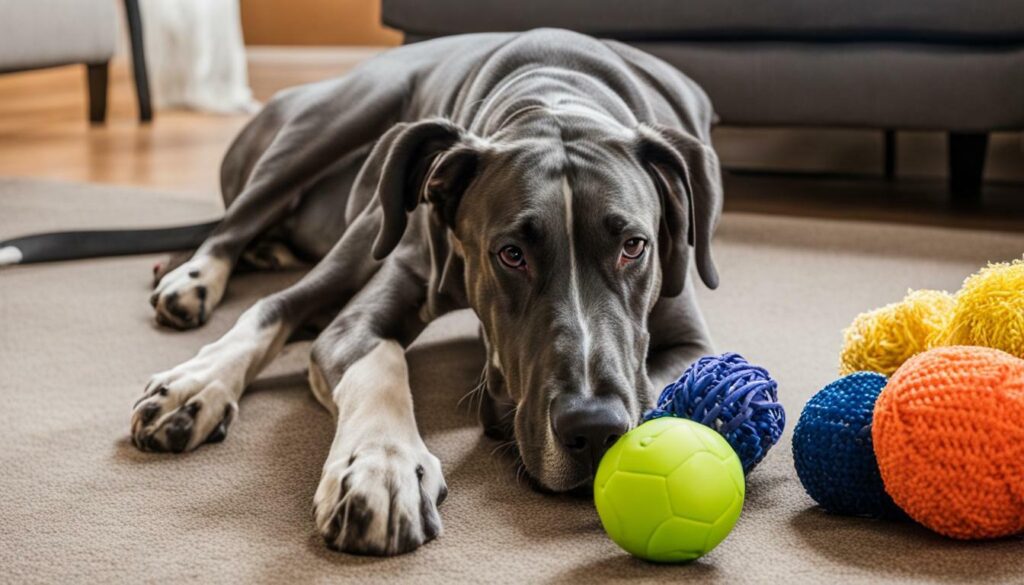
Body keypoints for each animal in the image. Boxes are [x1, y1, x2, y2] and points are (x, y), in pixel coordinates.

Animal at [6, 28, 720, 557]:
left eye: (634, 247)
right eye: (510, 254)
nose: (594, 430)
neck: (556, 96)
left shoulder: (690, 337)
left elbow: (662, 385)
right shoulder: (368, 306)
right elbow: (379, 358)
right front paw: (382, 467)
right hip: (342, 151)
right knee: (260, 278)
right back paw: (195, 360)